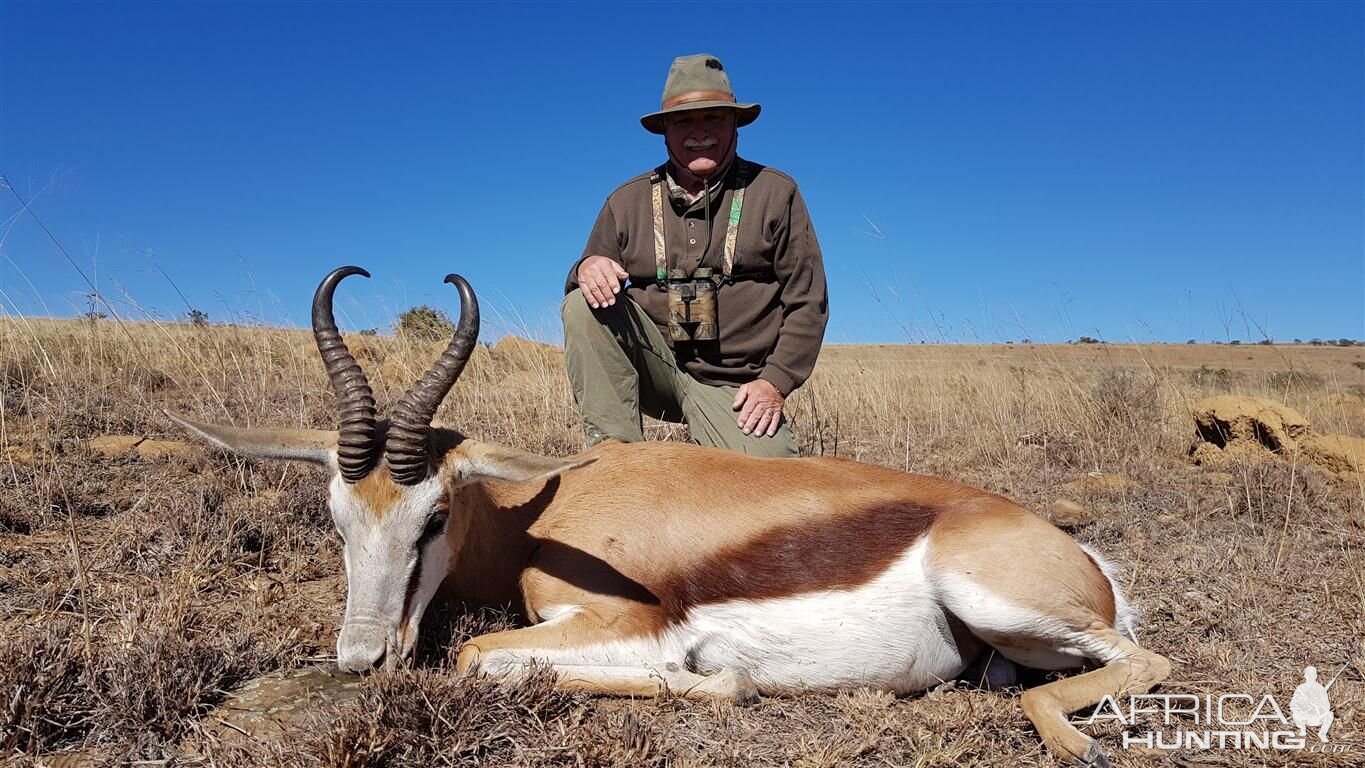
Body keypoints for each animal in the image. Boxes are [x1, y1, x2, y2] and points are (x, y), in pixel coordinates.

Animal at [167, 267, 1173, 763]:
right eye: (338, 518)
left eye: (433, 517)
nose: (361, 658)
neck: (546, 514)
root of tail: (1083, 561)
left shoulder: (625, 626)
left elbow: (479, 656)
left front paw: (724, 679)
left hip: (998, 601)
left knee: (1145, 661)